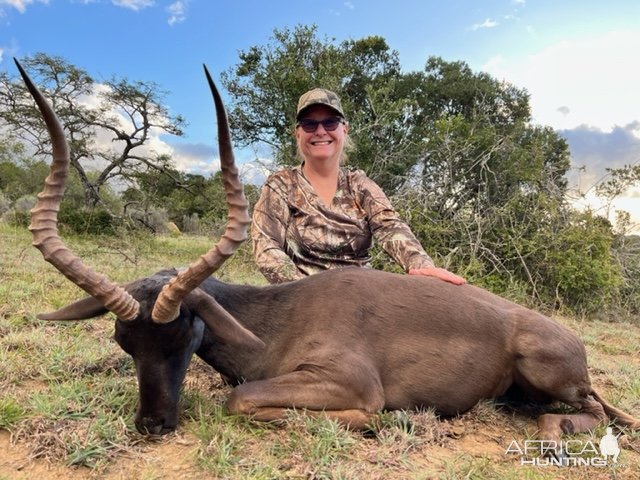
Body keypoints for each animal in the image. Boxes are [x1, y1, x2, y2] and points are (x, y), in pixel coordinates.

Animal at [16, 58, 640, 452]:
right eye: (126, 342)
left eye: (184, 335)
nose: (152, 424)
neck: (279, 320)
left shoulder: (346, 383)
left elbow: (241, 399)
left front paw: (375, 421)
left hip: (549, 375)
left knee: (585, 413)